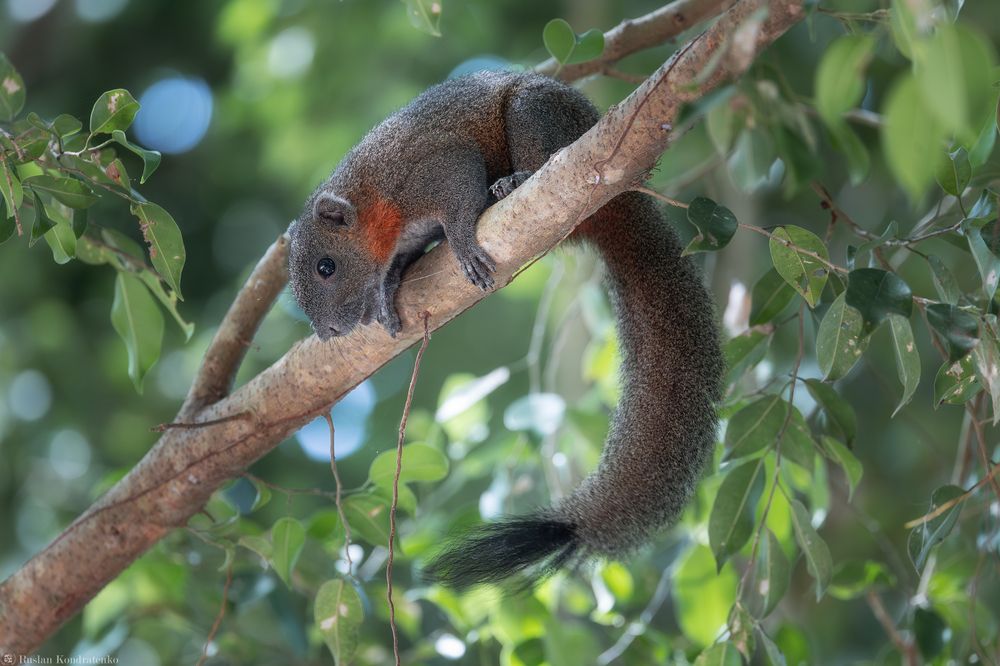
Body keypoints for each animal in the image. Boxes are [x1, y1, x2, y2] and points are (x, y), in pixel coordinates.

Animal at [288, 70, 723, 589]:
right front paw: (388, 288)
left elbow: (459, 191)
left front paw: (460, 241)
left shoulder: (428, 171)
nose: (330, 330)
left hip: (542, 114)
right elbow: (400, 261)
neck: (373, 202)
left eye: (326, 267)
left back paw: (518, 179)